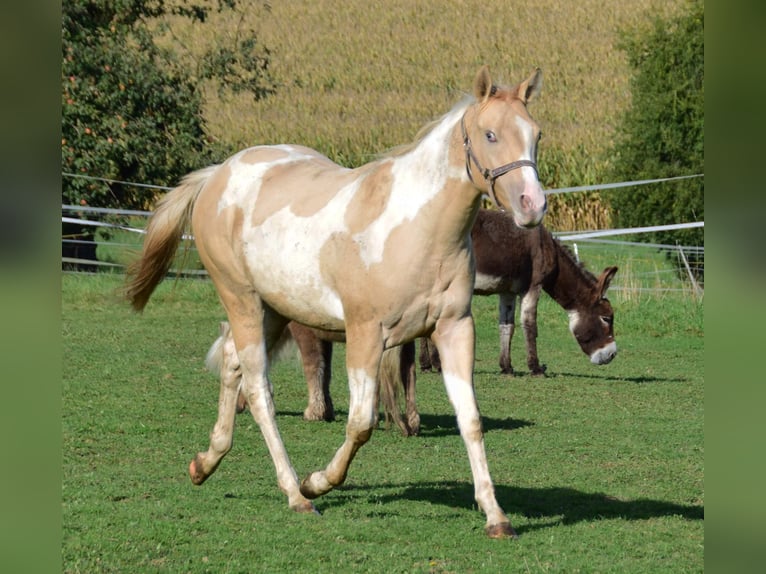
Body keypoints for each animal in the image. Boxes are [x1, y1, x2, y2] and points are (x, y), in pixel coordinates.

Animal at [124, 66, 544, 540]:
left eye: (536, 134)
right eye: (490, 134)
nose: (533, 205)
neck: (417, 230)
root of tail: (218, 174)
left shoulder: (454, 328)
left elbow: (470, 419)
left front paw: (496, 516)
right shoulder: (365, 335)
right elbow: (360, 424)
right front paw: (317, 481)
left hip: (273, 311)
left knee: (232, 364)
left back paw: (205, 463)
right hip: (242, 300)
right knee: (259, 391)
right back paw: (295, 493)